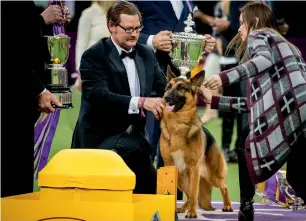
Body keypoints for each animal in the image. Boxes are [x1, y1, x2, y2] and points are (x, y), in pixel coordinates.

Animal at [160, 66, 232, 218]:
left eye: (181, 87)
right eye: (168, 86)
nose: (166, 98)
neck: (178, 125)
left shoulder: (194, 168)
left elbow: (194, 192)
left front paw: (192, 213)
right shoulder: (169, 166)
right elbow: (185, 193)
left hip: (213, 175)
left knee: (224, 186)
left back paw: (228, 205)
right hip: (182, 177)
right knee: (188, 194)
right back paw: (182, 208)